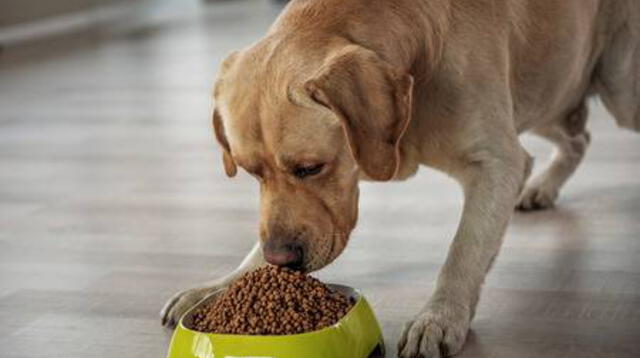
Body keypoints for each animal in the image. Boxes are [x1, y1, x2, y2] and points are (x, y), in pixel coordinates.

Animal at [161, 1, 640, 356]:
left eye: (310, 168)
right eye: (250, 172)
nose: (284, 259)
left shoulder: (497, 163)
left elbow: (463, 252)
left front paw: (439, 317)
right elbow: (256, 248)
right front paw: (220, 285)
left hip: (616, 88)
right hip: (547, 95)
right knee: (579, 134)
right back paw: (544, 185)